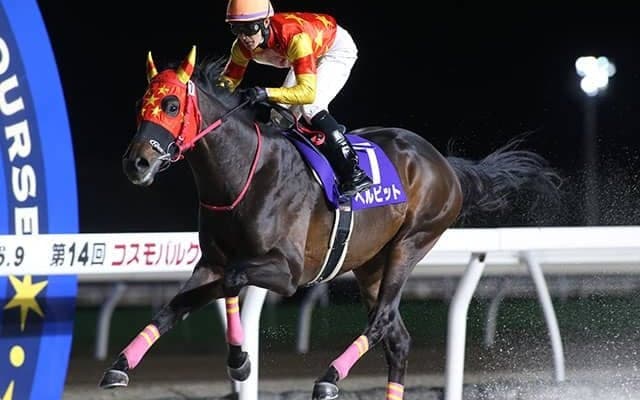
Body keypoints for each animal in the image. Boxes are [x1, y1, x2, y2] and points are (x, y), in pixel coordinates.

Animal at [99, 46, 561, 399]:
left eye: (172, 105)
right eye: (141, 105)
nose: (136, 163)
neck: (243, 174)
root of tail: (443, 163)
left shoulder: (287, 272)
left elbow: (232, 281)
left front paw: (241, 361)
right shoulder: (210, 261)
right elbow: (175, 306)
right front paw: (121, 365)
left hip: (411, 242)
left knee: (381, 322)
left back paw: (329, 378)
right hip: (370, 264)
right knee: (397, 339)